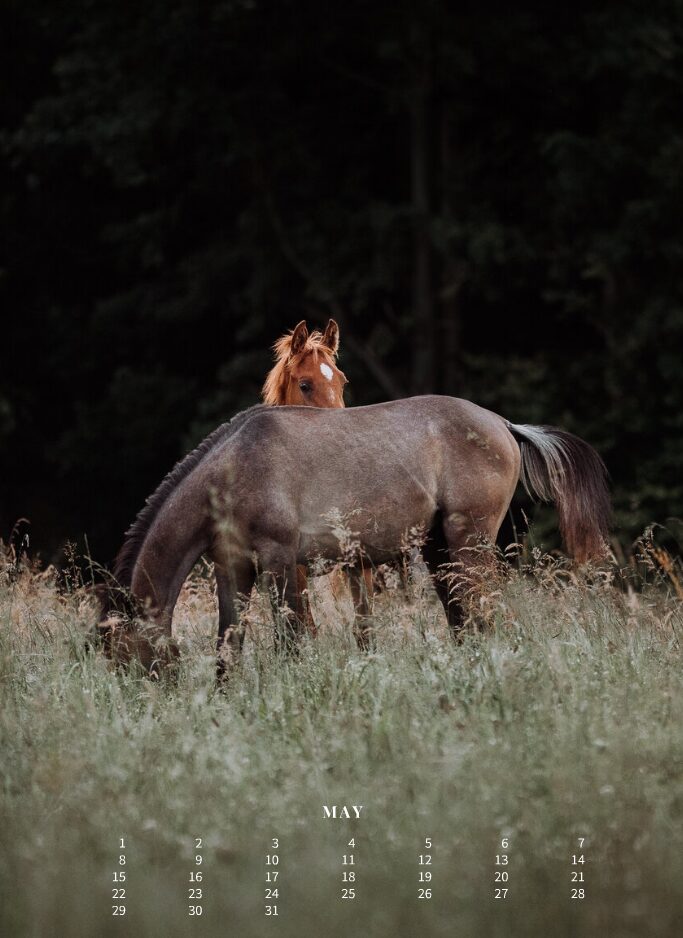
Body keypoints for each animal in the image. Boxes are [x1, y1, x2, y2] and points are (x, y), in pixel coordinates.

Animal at [98, 396, 610, 674]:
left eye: (124, 654)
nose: (143, 707)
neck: (237, 467)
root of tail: (504, 424)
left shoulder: (279, 560)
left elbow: (290, 637)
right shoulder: (233, 567)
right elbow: (228, 643)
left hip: (470, 543)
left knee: (486, 611)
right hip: (439, 551)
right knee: (464, 619)